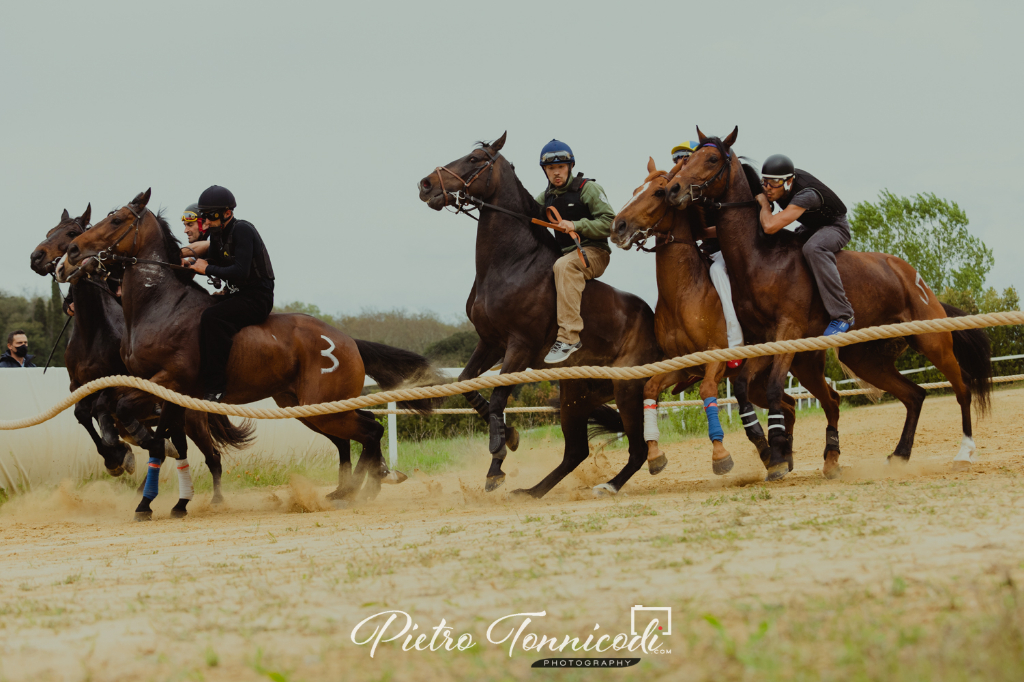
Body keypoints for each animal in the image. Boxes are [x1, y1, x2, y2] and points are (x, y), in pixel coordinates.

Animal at [29, 204, 253, 501]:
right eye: (49, 232)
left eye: (72, 232)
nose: (37, 257)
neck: (93, 331)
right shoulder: (77, 386)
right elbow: (82, 414)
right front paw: (115, 457)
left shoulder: (116, 383)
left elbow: (104, 411)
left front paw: (120, 455)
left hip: (191, 417)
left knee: (195, 450)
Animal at [57, 188, 440, 518]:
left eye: (116, 220)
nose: (70, 254)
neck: (160, 305)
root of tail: (347, 340)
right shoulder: (152, 388)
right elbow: (116, 411)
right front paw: (144, 482)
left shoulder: (170, 382)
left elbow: (133, 418)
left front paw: (140, 461)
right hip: (307, 408)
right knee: (358, 433)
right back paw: (352, 486)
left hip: (323, 406)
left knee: (371, 430)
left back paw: (363, 487)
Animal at [417, 131, 663, 493]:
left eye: (475, 159)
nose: (425, 184)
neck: (512, 265)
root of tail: (653, 319)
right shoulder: (490, 342)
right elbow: (467, 386)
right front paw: (509, 440)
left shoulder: (520, 347)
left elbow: (498, 400)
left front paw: (497, 457)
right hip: (576, 393)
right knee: (576, 451)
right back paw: (532, 492)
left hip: (627, 388)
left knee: (638, 449)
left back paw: (609, 485)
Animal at [614, 156, 839, 473]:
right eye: (636, 190)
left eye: (658, 193)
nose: (618, 226)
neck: (684, 293)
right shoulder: (683, 365)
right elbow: (650, 388)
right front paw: (655, 454)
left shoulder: (716, 357)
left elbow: (707, 390)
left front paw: (720, 454)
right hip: (761, 381)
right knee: (789, 405)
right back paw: (780, 456)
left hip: (803, 366)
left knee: (824, 400)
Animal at [663, 127, 991, 477]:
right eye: (688, 159)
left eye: (711, 159)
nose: (673, 189)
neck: (760, 256)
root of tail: (915, 278)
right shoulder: (765, 341)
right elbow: (742, 388)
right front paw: (768, 446)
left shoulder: (789, 332)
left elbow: (775, 388)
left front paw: (777, 451)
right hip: (865, 358)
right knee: (914, 395)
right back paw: (899, 454)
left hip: (932, 340)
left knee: (962, 388)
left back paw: (965, 451)